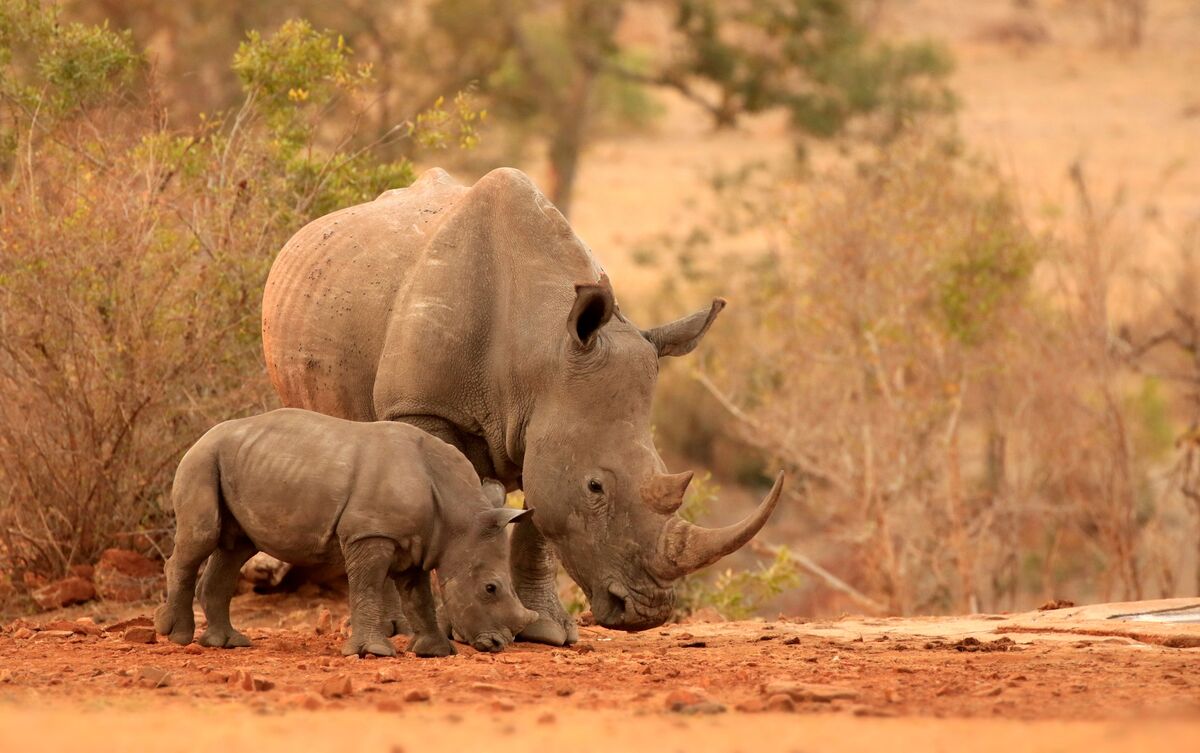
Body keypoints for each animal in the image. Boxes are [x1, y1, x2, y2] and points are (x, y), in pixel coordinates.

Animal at [153, 407, 535, 657]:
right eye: (490, 588)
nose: (499, 644)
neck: (460, 517)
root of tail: (202, 436)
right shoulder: (370, 533)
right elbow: (367, 586)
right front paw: (373, 652)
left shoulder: (416, 543)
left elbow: (419, 596)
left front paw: (436, 651)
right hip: (202, 460)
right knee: (202, 537)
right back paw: (176, 636)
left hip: (235, 462)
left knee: (235, 548)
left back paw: (228, 643)